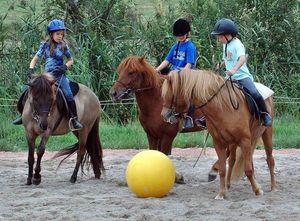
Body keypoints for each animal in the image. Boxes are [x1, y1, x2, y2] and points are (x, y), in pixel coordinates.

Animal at [162, 68, 276, 199]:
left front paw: (257, 190)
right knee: (233, 160)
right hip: (235, 142)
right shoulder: (219, 143)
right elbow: (222, 169)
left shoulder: (244, 140)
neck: (223, 108)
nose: (164, 115)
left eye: (170, 94)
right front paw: (221, 193)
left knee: (269, 160)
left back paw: (273, 187)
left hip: (266, 132)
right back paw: (229, 184)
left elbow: (248, 169)